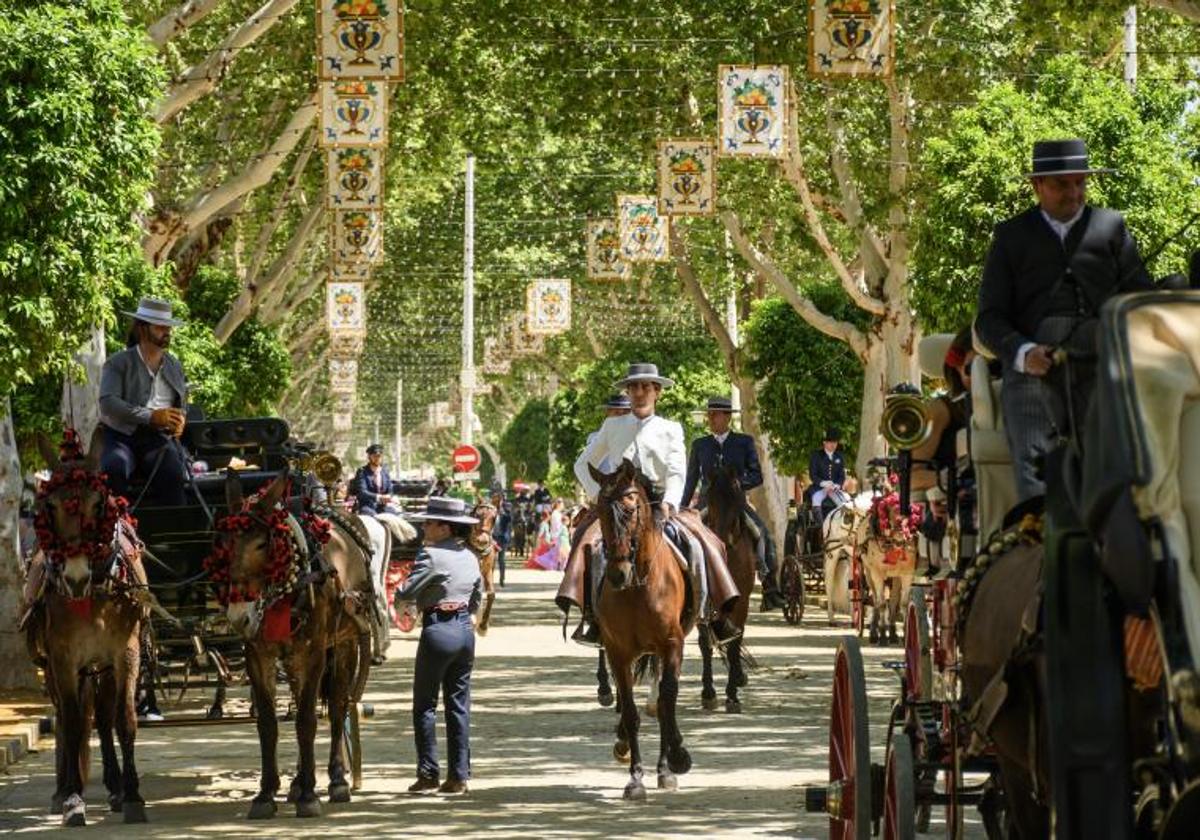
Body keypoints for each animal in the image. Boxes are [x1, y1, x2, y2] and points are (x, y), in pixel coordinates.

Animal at [24, 429, 148, 825]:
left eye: (99, 503)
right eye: (48, 506)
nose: (75, 577)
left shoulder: (125, 653)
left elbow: (124, 721)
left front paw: (132, 795)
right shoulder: (63, 660)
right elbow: (75, 721)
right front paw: (73, 799)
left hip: (100, 667)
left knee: (104, 719)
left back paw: (114, 786)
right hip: (56, 668)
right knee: (66, 718)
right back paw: (62, 788)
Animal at [211, 472, 369, 820]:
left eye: (262, 543)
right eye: (224, 543)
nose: (239, 617)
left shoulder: (314, 653)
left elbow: (307, 721)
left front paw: (310, 795)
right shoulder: (259, 655)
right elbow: (268, 724)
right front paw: (265, 794)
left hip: (345, 644)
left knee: (336, 707)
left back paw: (336, 780)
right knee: (300, 704)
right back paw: (297, 781)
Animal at [460, 501, 494, 633]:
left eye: (494, 518)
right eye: (477, 516)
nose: (482, 540)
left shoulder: (487, 571)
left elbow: (491, 594)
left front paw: (483, 626)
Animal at [583, 458, 691, 801]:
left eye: (630, 511)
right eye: (601, 512)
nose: (618, 574)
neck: (639, 586)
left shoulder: (671, 644)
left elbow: (667, 701)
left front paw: (675, 761)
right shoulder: (618, 651)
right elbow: (630, 712)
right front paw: (635, 779)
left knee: (662, 703)